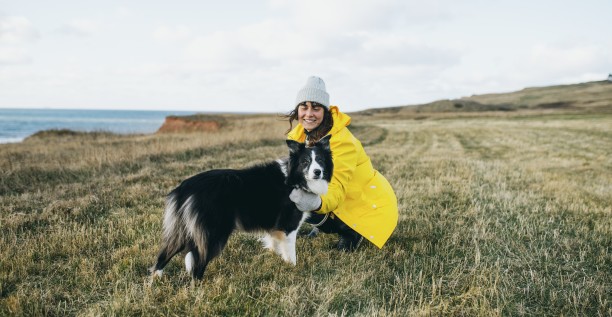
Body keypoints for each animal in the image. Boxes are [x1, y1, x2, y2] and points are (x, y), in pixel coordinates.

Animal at [152, 135, 334, 278]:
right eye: (305, 162)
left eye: (320, 160)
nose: (317, 172)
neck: (293, 177)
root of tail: (185, 187)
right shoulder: (288, 226)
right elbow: (290, 253)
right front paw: (293, 269)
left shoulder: (276, 228)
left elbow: (274, 244)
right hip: (213, 234)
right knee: (198, 264)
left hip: (183, 229)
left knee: (164, 255)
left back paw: (156, 280)